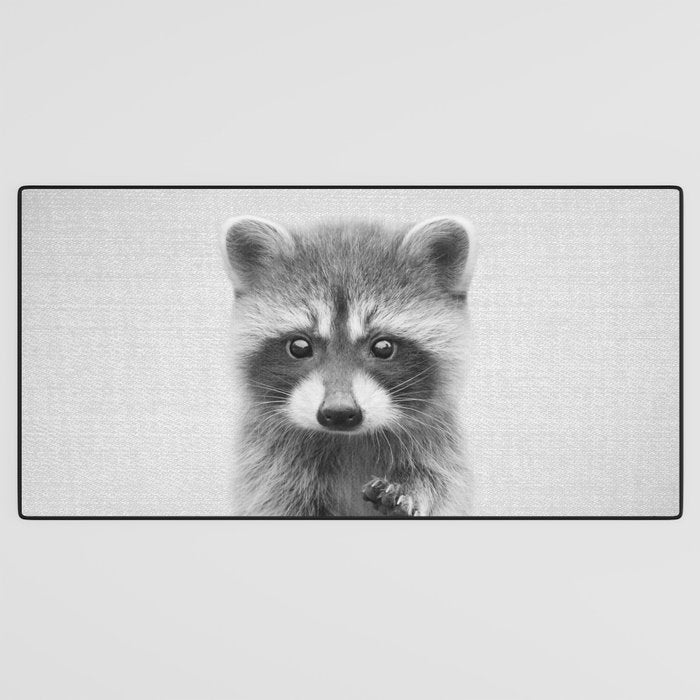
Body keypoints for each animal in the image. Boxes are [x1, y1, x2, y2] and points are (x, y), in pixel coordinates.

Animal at [220, 215, 477, 517]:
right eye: (299, 346)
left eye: (383, 347)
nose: (340, 412)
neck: (348, 438)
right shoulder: (268, 466)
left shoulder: (439, 448)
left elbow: (438, 483)